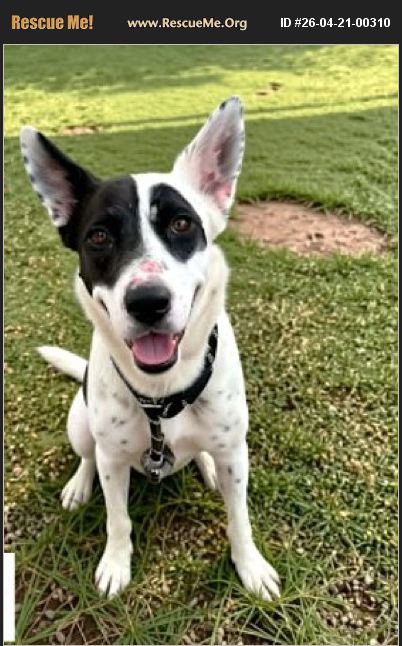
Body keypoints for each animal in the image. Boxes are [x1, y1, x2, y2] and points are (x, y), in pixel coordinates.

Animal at [20, 97, 280, 600]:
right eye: (99, 236)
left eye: (181, 223)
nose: (148, 302)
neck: (163, 395)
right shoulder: (114, 460)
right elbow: (117, 519)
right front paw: (115, 565)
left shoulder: (237, 453)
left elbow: (239, 519)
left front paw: (250, 566)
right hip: (81, 423)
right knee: (86, 456)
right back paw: (78, 486)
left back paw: (207, 467)